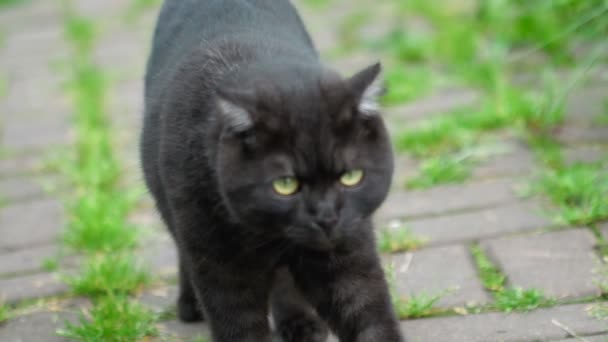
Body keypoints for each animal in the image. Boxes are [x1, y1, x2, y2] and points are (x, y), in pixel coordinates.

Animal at [140, 1, 402, 340]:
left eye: (351, 176)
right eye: (285, 184)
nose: (326, 217)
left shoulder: (348, 247)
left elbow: (367, 312)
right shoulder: (220, 264)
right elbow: (238, 326)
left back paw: (300, 323)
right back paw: (189, 303)